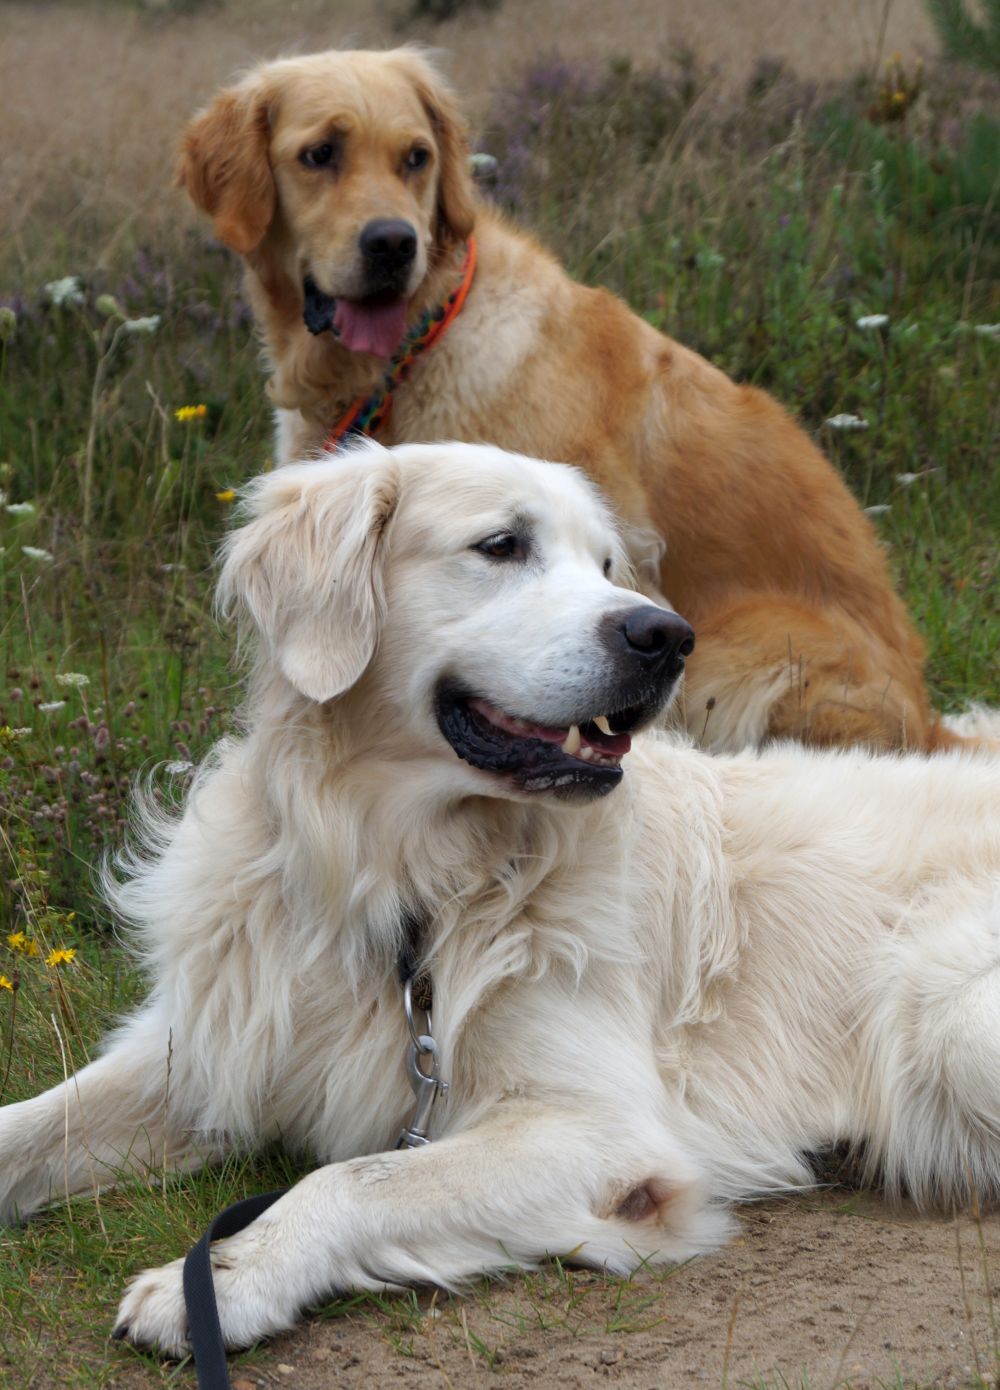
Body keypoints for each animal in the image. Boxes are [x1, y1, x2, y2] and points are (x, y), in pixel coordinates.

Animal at [1, 441, 1000, 1357]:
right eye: (502, 545)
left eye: (606, 566)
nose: (667, 636)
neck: (403, 876)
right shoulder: (211, 1043)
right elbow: (29, 1125)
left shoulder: (601, 1129)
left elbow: (355, 1179)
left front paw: (223, 1278)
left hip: (947, 1014)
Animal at [176, 46, 989, 756]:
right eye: (320, 154)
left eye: (416, 157)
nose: (393, 244)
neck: (417, 346)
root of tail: (927, 719)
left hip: (741, 652)